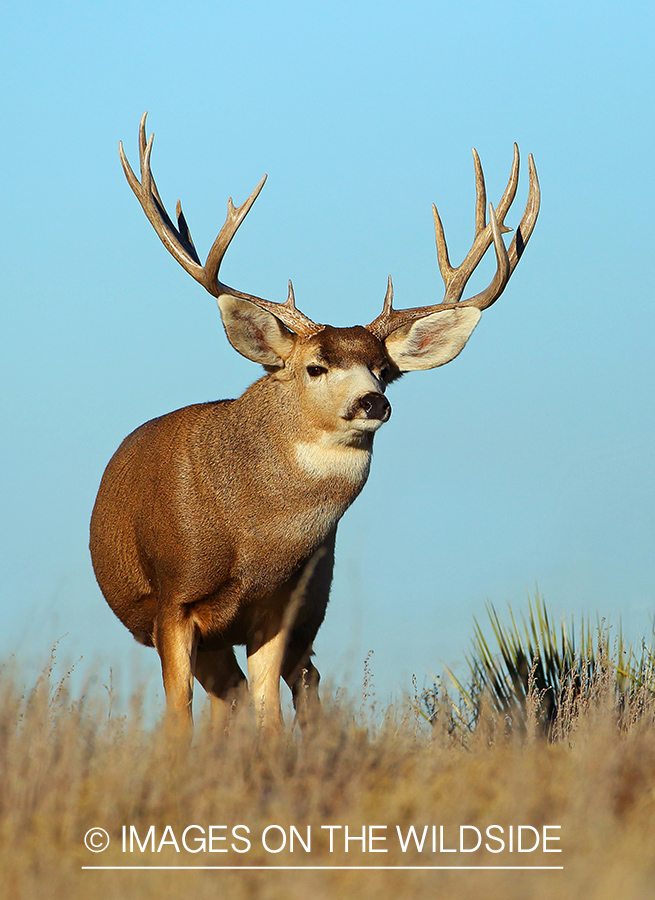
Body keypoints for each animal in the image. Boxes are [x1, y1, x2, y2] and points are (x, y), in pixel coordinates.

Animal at [88, 112, 540, 732]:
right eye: (315, 366)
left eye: (385, 371)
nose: (373, 403)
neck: (253, 542)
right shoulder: (173, 600)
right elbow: (179, 717)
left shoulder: (283, 605)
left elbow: (271, 716)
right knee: (229, 696)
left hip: (313, 606)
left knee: (296, 685)